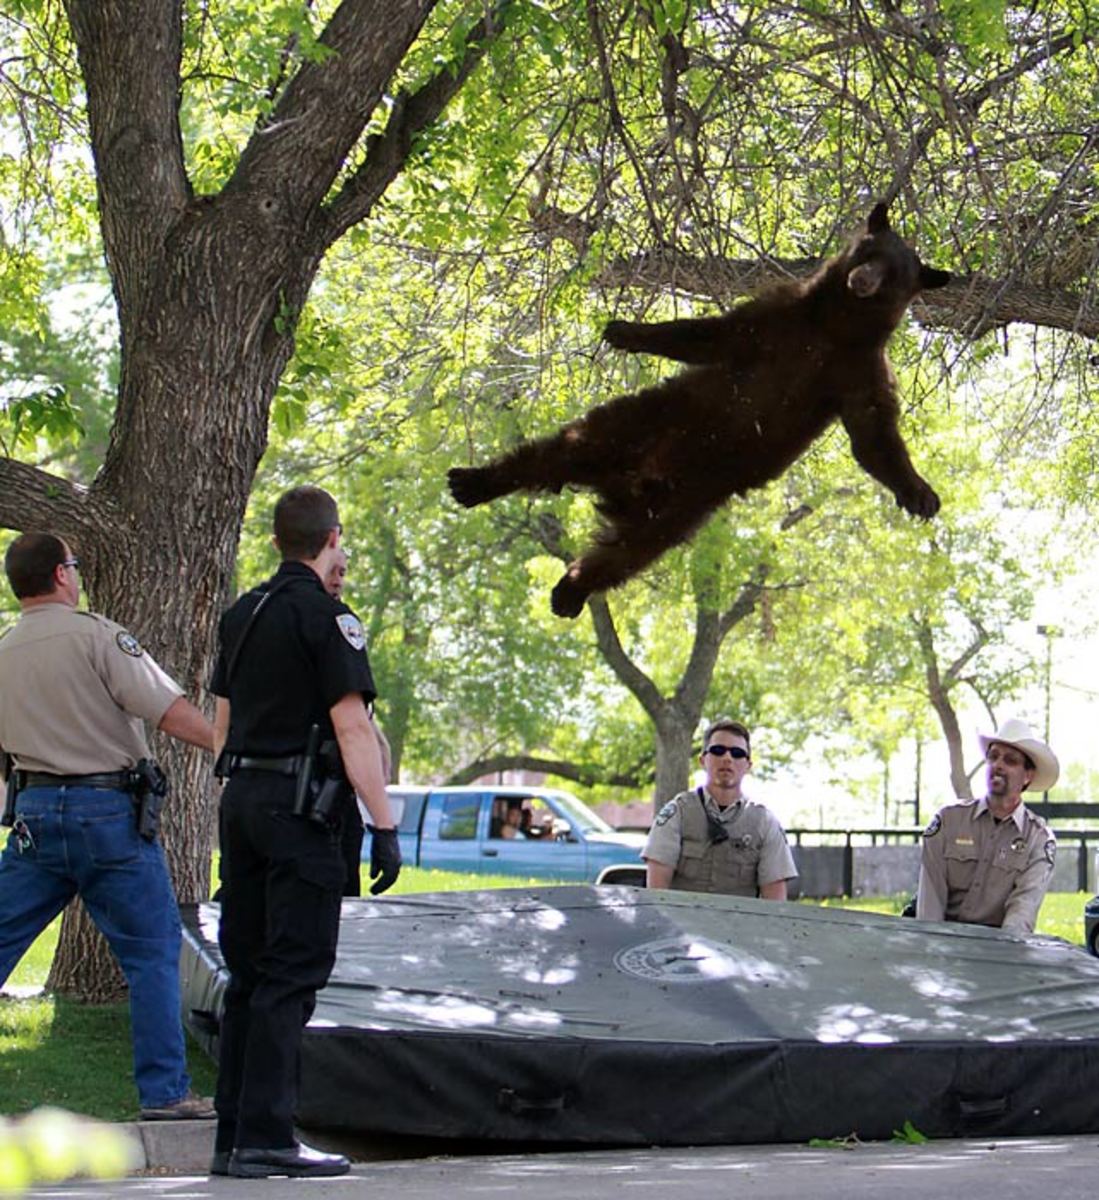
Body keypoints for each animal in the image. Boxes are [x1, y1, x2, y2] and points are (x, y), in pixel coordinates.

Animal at [448, 202, 951, 618]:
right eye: (869, 250)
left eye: (895, 274)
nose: (863, 279)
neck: (836, 326)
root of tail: (627, 483)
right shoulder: (779, 318)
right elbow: (709, 335)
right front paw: (625, 330)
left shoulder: (859, 371)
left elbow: (873, 434)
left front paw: (920, 494)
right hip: (637, 423)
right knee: (554, 452)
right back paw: (474, 482)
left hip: (681, 509)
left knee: (624, 554)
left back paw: (569, 591)